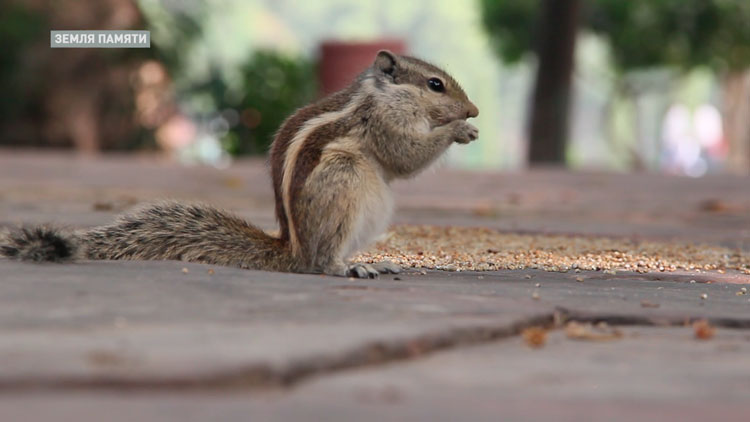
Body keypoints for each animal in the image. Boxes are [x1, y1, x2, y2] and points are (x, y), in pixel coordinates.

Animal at [0, 50, 478, 276]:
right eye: (435, 85)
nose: (473, 111)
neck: (381, 94)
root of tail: (293, 250)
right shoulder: (383, 123)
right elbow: (404, 156)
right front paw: (458, 131)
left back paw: (376, 261)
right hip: (343, 180)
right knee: (322, 263)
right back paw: (349, 266)